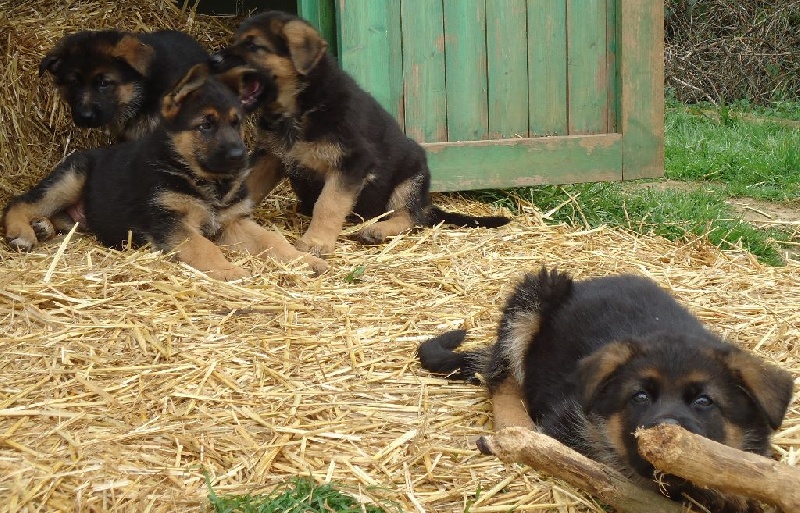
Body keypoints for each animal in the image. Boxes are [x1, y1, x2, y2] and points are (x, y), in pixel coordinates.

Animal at [4, 65, 326, 280]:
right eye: (205, 125)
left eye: (236, 123)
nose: (240, 158)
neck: (201, 179)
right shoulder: (171, 223)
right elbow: (205, 248)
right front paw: (227, 269)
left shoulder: (233, 221)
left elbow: (272, 240)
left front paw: (302, 260)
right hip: (71, 178)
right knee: (19, 202)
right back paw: (23, 232)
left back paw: (43, 226)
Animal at [209, 10, 510, 254]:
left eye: (253, 45)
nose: (214, 59)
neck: (301, 107)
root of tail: (426, 202)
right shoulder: (271, 155)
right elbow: (250, 185)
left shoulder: (352, 163)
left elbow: (328, 204)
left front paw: (316, 242)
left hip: (410, 179)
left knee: (413, 217)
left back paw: (377, 229)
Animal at [418, 268, 792, 508]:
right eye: (640, 397)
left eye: (704, 401)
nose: (664, 436)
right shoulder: (568, 426)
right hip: (536, 295)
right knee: (503, 376)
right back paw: (516, 428)